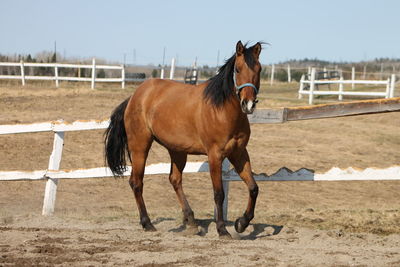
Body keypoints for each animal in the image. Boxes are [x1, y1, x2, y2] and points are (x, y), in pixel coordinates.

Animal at [104, 40, 264, 239]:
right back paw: (147, 223)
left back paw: (191, 221)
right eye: (238, 69)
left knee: (174, 180)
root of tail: (135, 96)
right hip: (140, 146)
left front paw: (241, 223)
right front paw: (222, 229)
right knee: (136, 182)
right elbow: (219, 193)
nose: (248, 104)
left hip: (177, 150)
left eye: (259, 69)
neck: (222, 110)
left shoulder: (239, 153)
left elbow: (253, 188)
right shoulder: (215, 156)